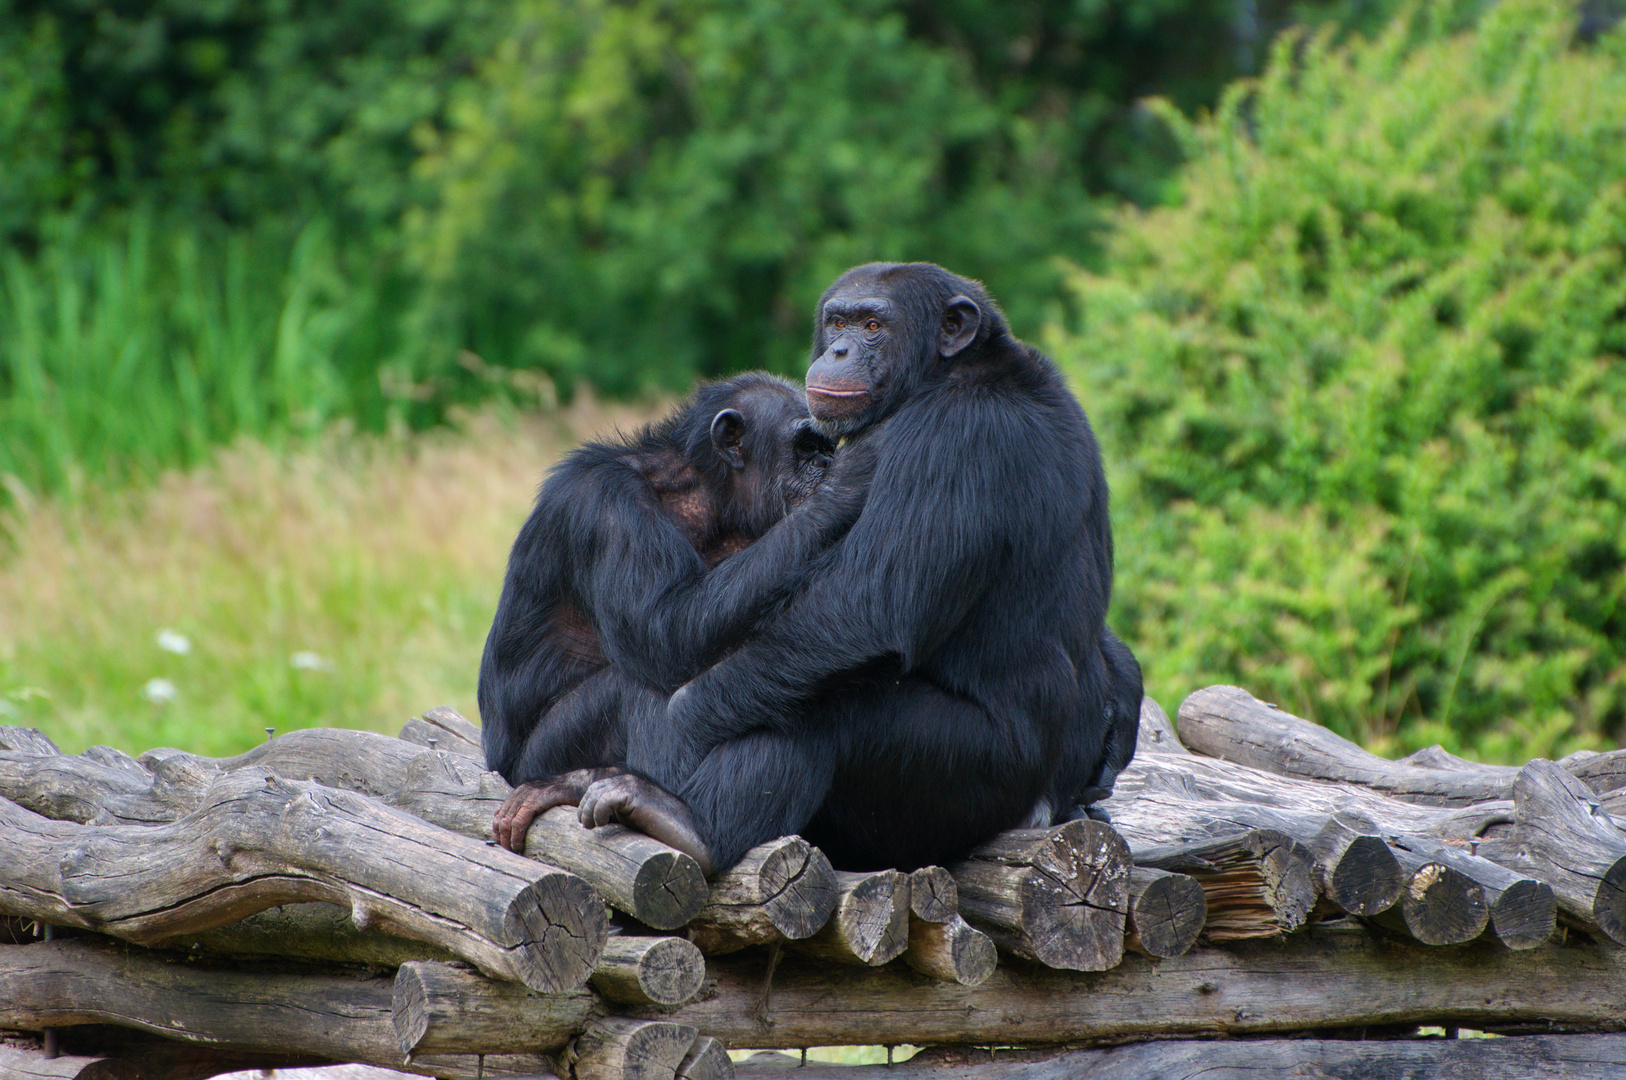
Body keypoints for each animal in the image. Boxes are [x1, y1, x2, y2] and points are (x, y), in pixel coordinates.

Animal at [478, 375, 871, 865]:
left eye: (823, 446)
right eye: (805, 446)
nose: (825, 461)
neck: (709, 496)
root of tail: (498, 768)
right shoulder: (605, 504)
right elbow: (665, 628)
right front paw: (845, 487)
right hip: (540, 757)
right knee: (641, 683)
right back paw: (680, 822)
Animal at [585, 265, 1144, 871]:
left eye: (874, 326)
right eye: (837, 322)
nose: (840, 349)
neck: (945, 377)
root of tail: (1047, 810)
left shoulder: (953, 436)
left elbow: (868, 608)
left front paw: (683, 721)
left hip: (977, 781)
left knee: (824, 701)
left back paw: (690, 824)